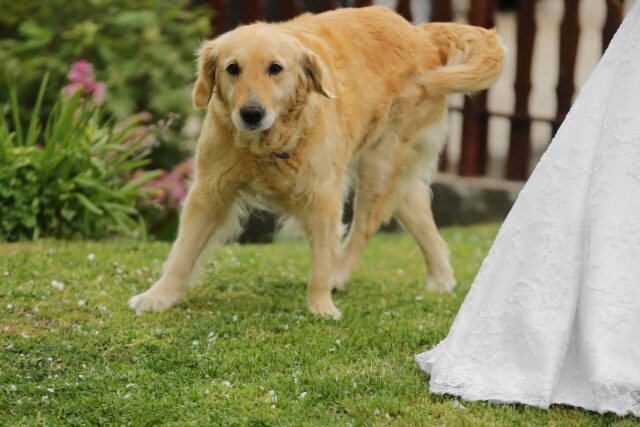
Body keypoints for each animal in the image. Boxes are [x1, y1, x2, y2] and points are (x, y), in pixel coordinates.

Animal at [129, 5, 504, 318]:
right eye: (232, 68)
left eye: (275, 69)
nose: (251, 113)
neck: (269, 144)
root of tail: (419, 33)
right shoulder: (210, 189)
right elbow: (183, 251)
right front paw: (158, 296)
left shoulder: (323, 196)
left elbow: (322, 259)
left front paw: (321, 306)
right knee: (418, 211)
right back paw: (441, 279)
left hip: (378, 163)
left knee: (364, 228)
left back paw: (340, 276)